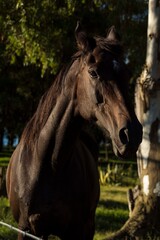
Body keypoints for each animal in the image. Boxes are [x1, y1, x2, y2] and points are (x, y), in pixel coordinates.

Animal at [6, 23, 142, 240]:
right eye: (93, 73)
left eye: (127, 74)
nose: (132, 134)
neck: (49, 166)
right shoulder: (25, 229)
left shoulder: (78, 230)